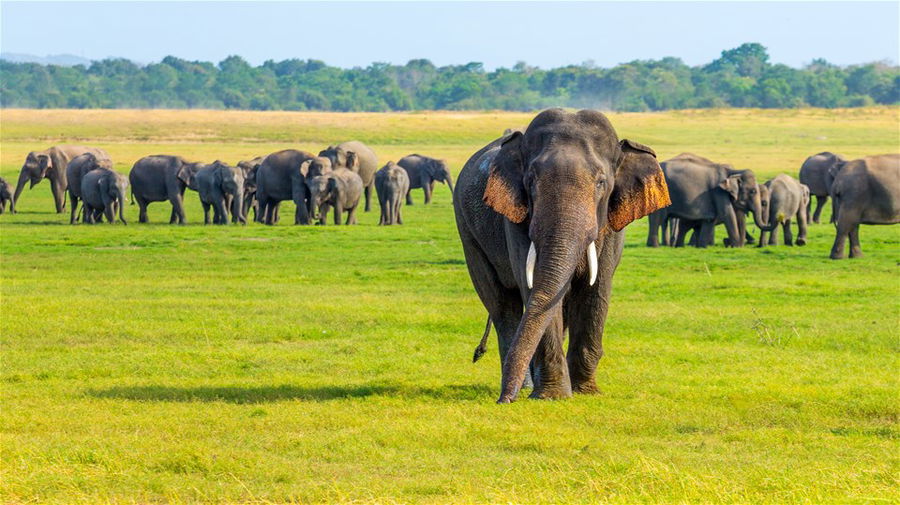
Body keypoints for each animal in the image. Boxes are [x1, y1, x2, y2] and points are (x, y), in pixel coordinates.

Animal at [454, 109, 672, 402]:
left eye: (601, 182)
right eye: (530, 181)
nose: (503, 400)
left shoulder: (611, 226)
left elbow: (596, 290)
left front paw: (585, 392)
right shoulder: (516, 218)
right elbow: (534, 288)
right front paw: (553, 396)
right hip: (468, 234)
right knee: (502, 305)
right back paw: (525, 387)